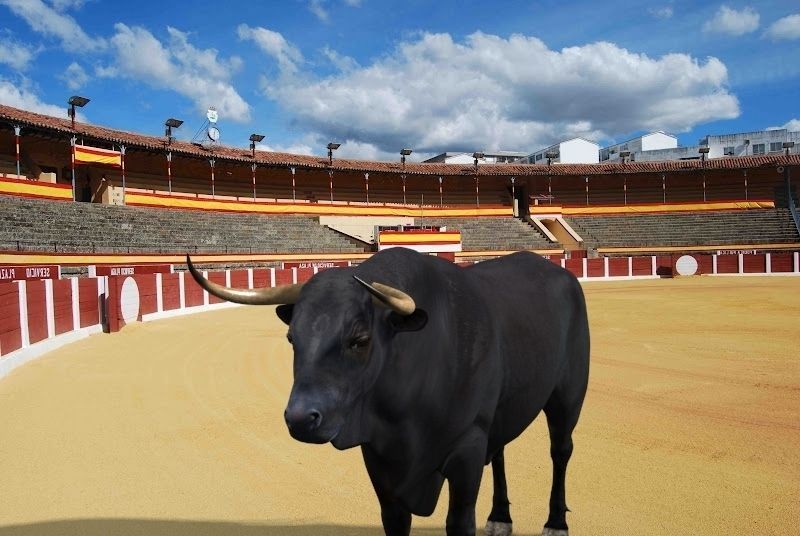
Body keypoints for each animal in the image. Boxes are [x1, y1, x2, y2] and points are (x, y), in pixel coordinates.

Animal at [187, 247, 589, 536]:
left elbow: (459, 522)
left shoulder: (467, 446)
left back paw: (556, 523)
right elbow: (395, 521)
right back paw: (500, 517)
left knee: (561, 450)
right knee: (502, 451)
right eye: (291, 338)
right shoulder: (381, 461)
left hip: (568, 395)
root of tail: (561, 274)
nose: (301, 419)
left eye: (360, 339)